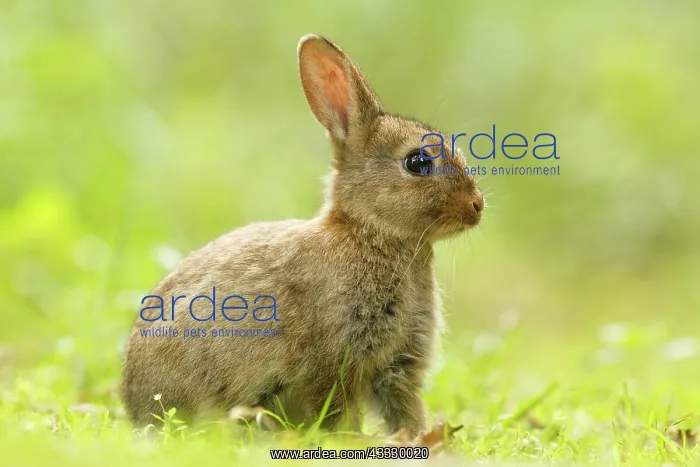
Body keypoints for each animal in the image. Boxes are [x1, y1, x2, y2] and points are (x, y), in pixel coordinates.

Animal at [122, 33, 484, 436]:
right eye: (418, 162)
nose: (477, 205)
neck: (371, 235)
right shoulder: (335, 358)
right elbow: (337, 408)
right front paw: (348, 441)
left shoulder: (399, 363)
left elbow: (404, 408)